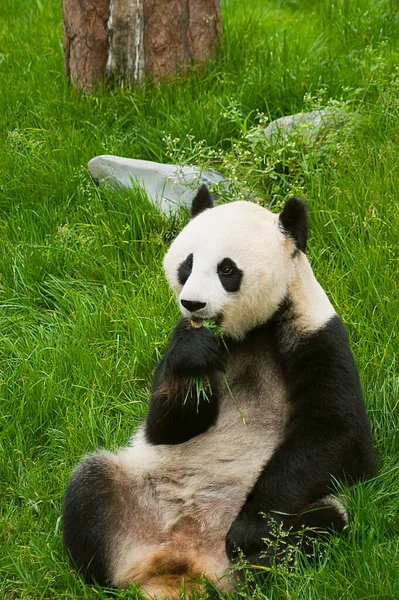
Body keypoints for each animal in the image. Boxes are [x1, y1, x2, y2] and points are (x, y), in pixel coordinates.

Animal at [64, 185, 376, 596]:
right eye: (188, 263)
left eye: (227, 269)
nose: (192, 302)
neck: (246, 332)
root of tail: (186, 562)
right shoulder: (184, 346)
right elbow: (167, 427)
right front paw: (193, 353)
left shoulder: (315, 333)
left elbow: (337, 434)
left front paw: (247, 530)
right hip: (136, 494)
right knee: (91, 488)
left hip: (287, 527)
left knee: (315, 528)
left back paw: (251, 556)